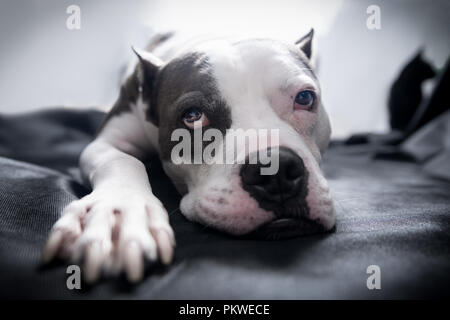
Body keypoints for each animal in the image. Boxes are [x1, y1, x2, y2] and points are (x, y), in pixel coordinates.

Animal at [42, 30, 336, 282]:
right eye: (193, 116)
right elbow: (123, 159)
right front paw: (120, 212)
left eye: (305, 98)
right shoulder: (107, 140)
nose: (275, 170)